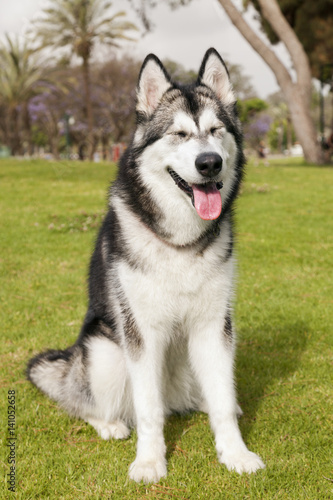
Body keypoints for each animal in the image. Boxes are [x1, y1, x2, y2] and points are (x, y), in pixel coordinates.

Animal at [26, 47, 264, 484]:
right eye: (179, 134)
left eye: (216, 130)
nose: (209, 163)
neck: (180, 239)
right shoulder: (141, 332)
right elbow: (148, 410)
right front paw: (150, 461)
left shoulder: (213, 326)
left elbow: (222, 401)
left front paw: (236, 453)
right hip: (105, 354)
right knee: (86, 401)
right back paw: (109, 423)